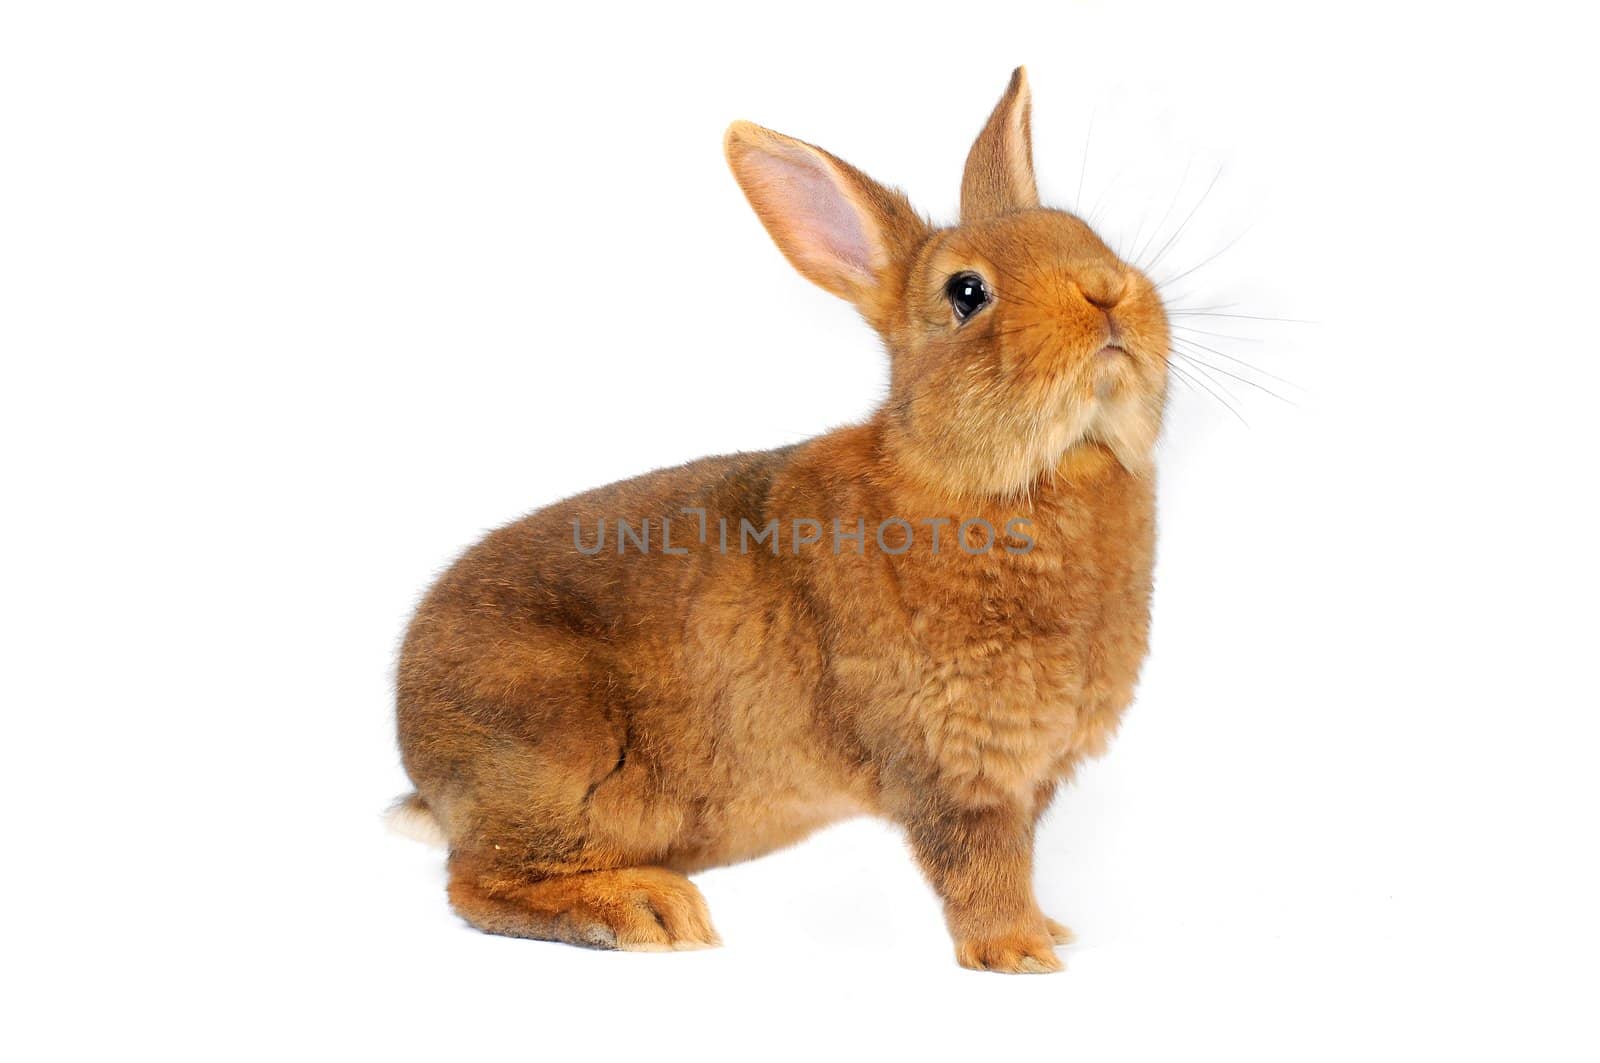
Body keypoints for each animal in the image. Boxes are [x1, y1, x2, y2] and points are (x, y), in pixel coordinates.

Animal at [387, 66, 1164, 973]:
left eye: (1086, 234)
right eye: (966, 293)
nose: (1107, 291)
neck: (1003, 475)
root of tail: (418, 749)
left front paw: (1051, 929)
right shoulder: (950, 763)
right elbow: (979, 863)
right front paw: (1019, 953)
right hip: (561, 764)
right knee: (477, 882)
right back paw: (647, 911)